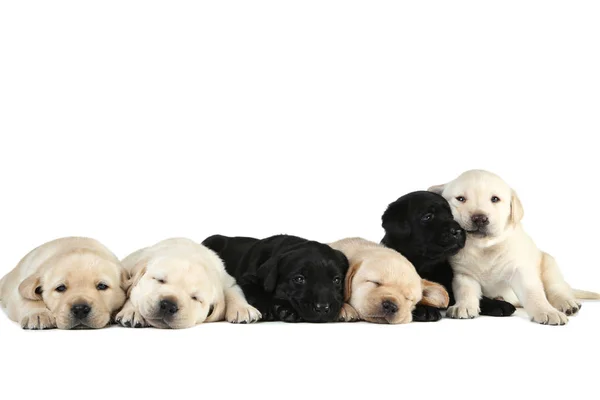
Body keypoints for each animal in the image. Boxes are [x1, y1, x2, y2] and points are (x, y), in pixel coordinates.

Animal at [0, 238, 129, 328]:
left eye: (102, 286)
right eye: (60, 288)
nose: (80, 309)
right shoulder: (17, 290)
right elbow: (27, 299)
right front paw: (38, 314)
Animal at [116, 238, 262, 328]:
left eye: (195, 298)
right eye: (160, 280)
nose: (168, 305)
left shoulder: (226, 280)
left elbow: (233, 291)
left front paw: (243, 309)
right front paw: (132, 311)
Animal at [204, 234, 350, 322]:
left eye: (337, 280)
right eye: (299, 279)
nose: (323, 308)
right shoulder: (246, 279)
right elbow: (256, 289)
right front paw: (274, 309)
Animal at [380, 191, 516, 322]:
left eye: (451, 216)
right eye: (427, 216)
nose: (458, 231)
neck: (426, 266)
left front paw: (496, 304)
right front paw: (425, 308)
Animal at [428, 169, 596, 324]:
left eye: (495, 199)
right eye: (460, 199)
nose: (480, 218)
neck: (484, 248)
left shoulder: (520, 269)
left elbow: (533, 292)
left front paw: (546, 311)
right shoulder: (463, 274)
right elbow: (465, 291)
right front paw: (464, 306)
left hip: (549, 264)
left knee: (558, 288)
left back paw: (566, 303)